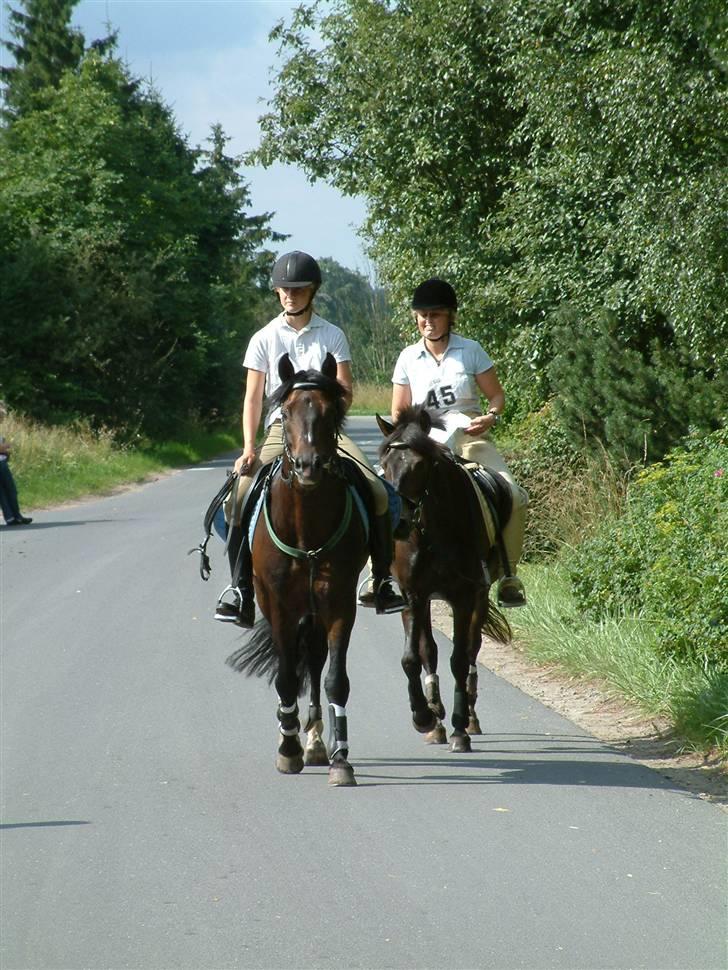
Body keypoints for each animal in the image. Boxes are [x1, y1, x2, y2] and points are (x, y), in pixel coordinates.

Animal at [228, 352, 370, 784]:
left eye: (330, 411)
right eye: (287, 411)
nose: (308, 467)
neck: (306, 526)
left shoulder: (339, 603)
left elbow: (335, 680)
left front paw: (341, 760)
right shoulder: (278, 605)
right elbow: (286, 675)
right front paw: (287, 751)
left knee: (316, 658)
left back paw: (316, 742)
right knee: (290, 664)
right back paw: (290, 733)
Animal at [376, 404, 512, 752]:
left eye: (420, 465)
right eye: (385, 464)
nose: (398, 520)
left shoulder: (463, 595)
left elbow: (460, 659)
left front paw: (460, 729)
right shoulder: (413, 595)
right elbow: (414, 657)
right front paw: (425, 716)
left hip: (480, 595)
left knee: (473, 648)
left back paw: (471, 718)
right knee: (430, 652)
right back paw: (436, 719)